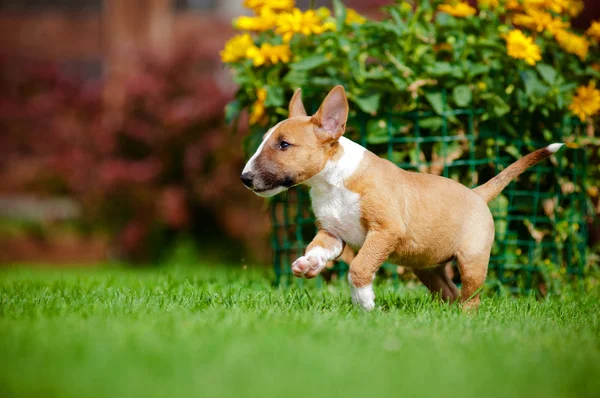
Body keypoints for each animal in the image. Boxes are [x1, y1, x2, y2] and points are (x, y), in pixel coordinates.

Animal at [239, 86, 564, 310]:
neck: (333, 182)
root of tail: (477, 193)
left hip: (472, 259)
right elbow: (319, 248)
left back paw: (465, 318)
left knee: (471, 296)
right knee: (449, 292)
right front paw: (308, 264)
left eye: (284, 145)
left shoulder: (385, 230)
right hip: (427, 267)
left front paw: (365, 303)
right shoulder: (331, 232)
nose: (245, 178)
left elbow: (359, 267)